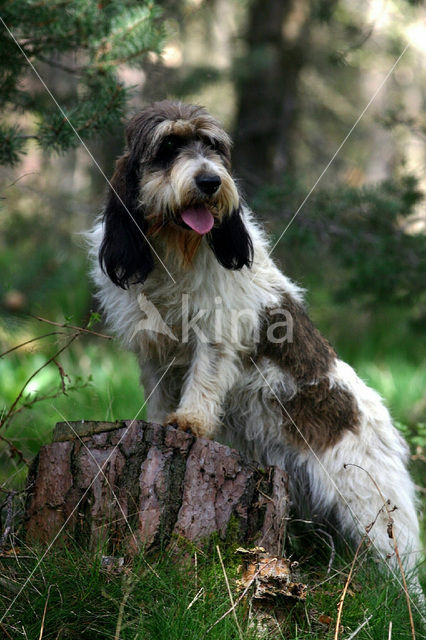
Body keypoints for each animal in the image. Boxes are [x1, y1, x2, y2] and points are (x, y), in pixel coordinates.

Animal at [88, 99, 422, 580]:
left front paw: (189, 422)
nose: (209, 181)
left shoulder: (216, 333)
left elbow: (204, 379)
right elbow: (159, 392)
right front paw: (162, 421)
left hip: (375, 512)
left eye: (213, 146)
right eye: (168, 147)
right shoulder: (153, 348)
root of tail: (387, 430)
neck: (176, 249)